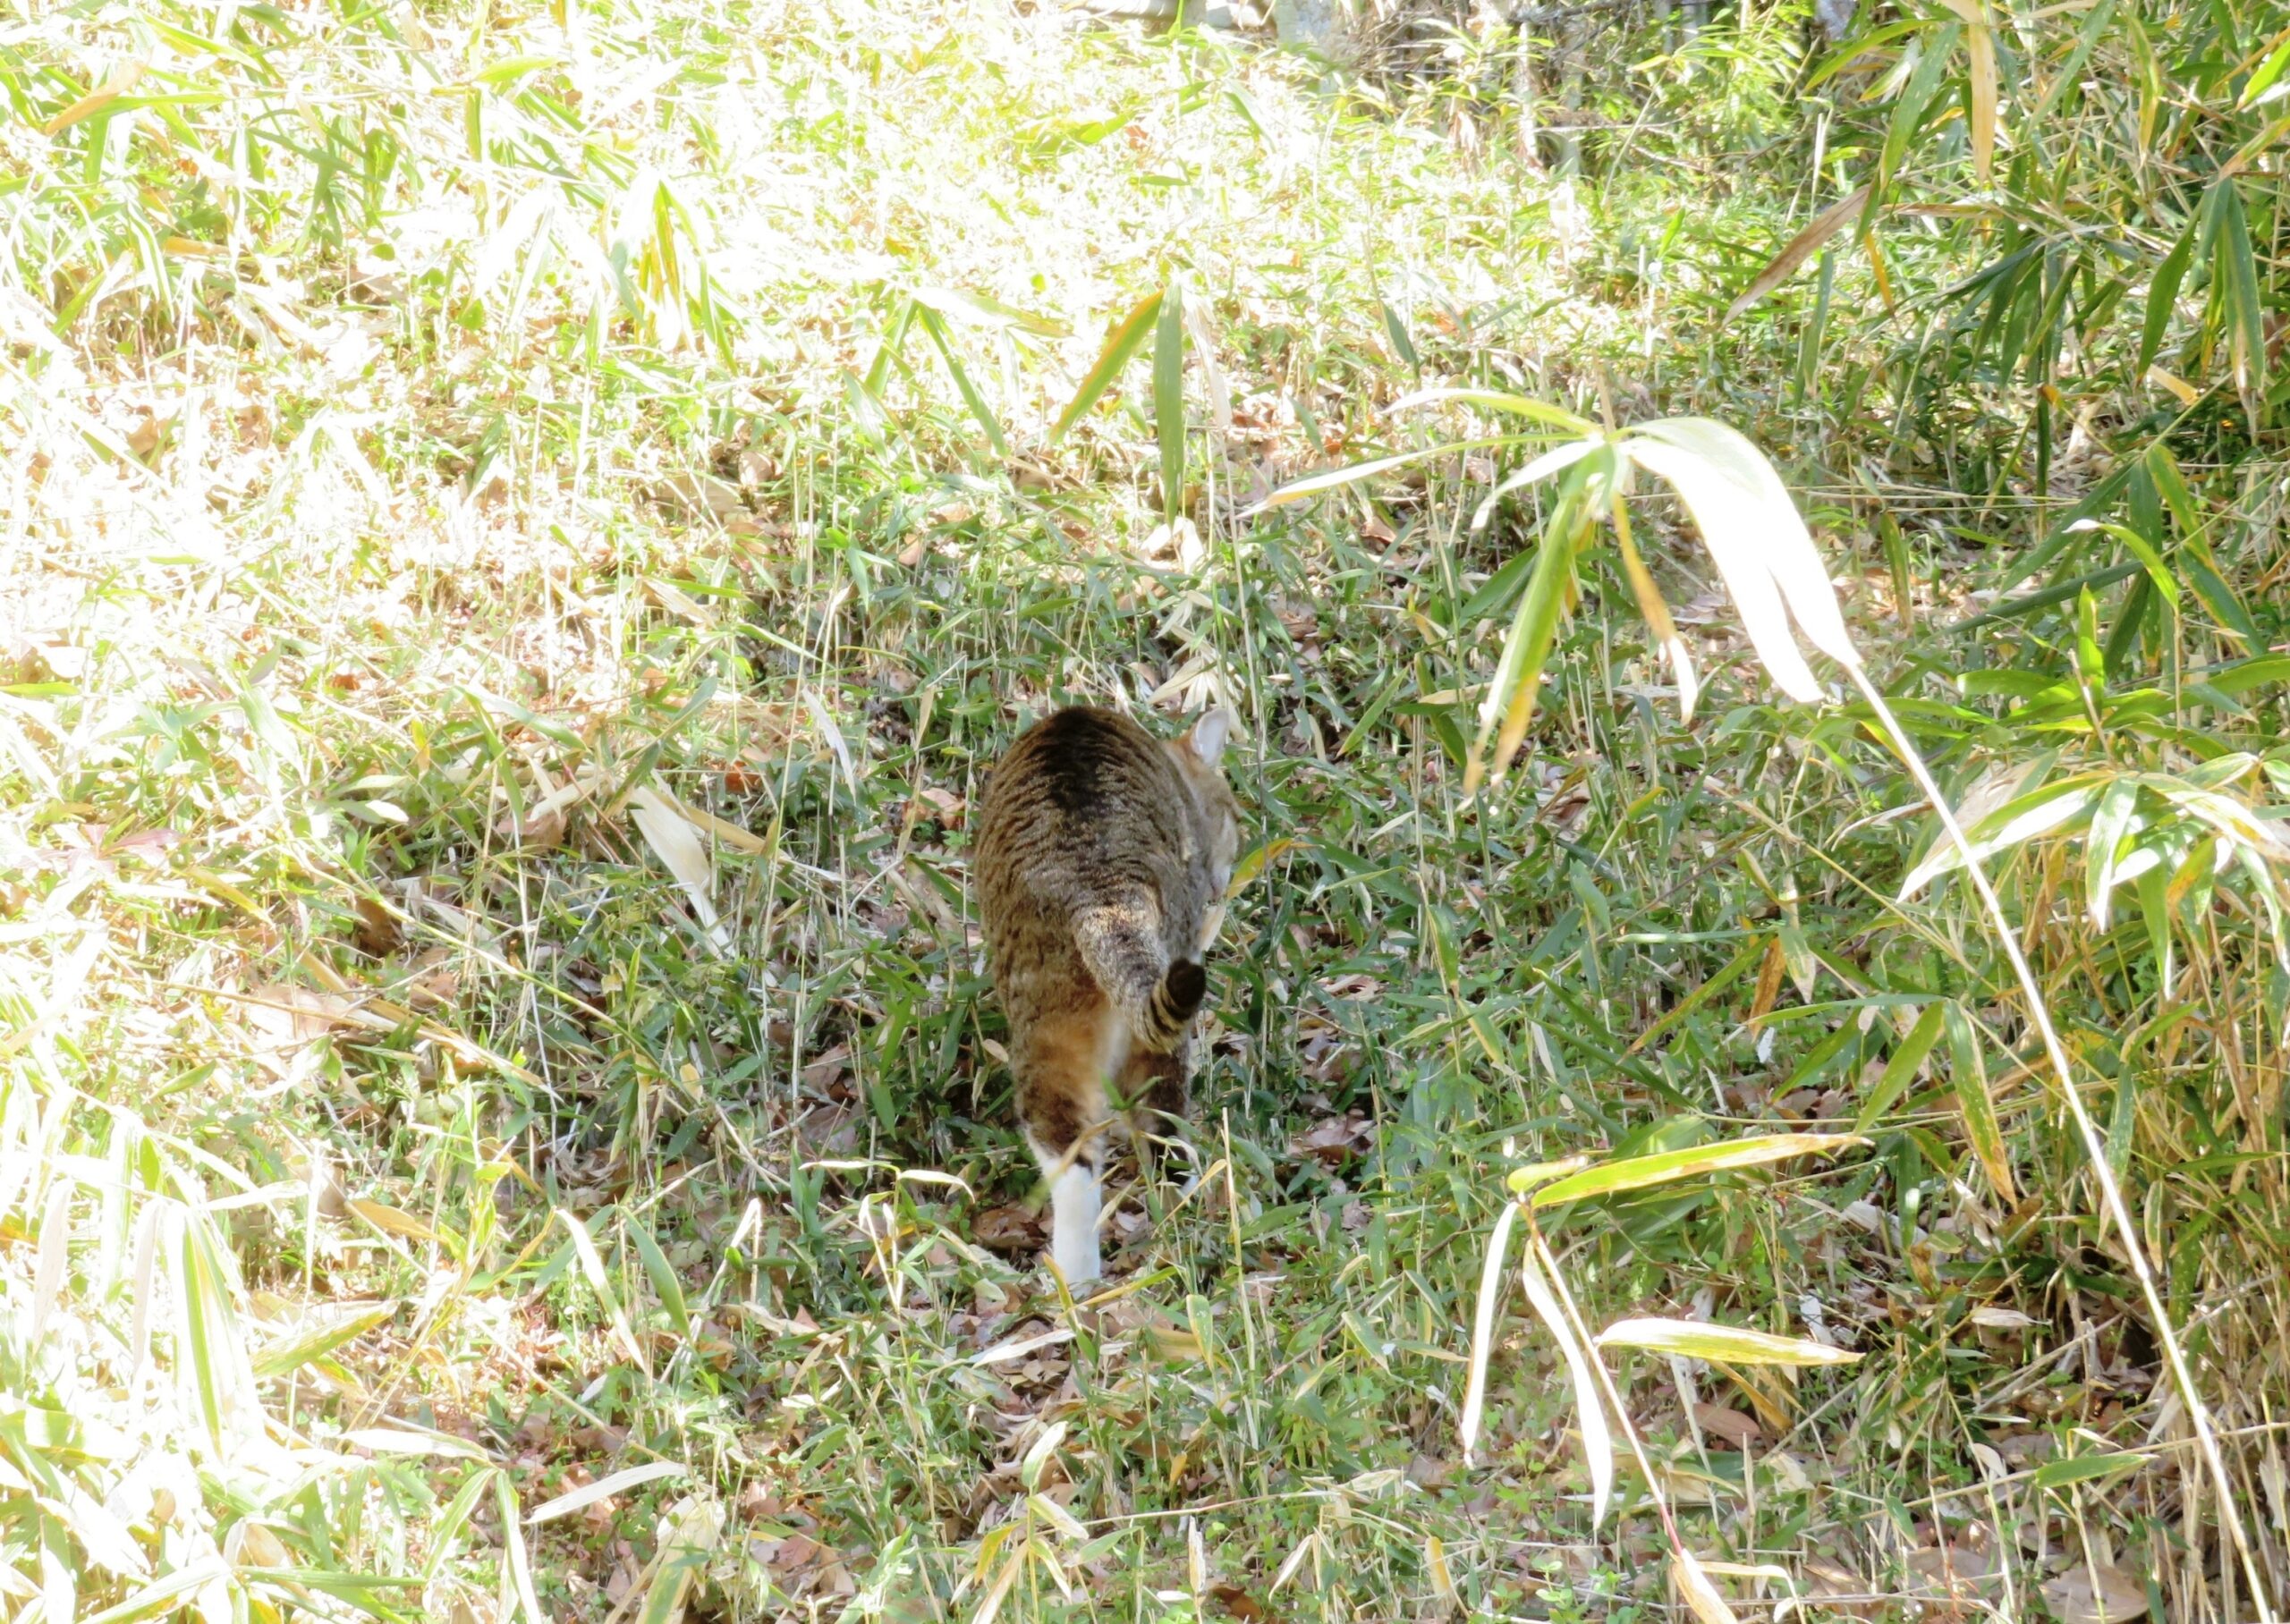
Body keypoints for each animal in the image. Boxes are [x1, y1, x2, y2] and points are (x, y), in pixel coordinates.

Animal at [975, 700, 1245, 1282]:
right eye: (1231, 818)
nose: (1223, 880)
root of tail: (1102, 894)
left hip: (1047, 1019)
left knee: (1070, 1151)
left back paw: (1076, 1279)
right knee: (1160, 1133)